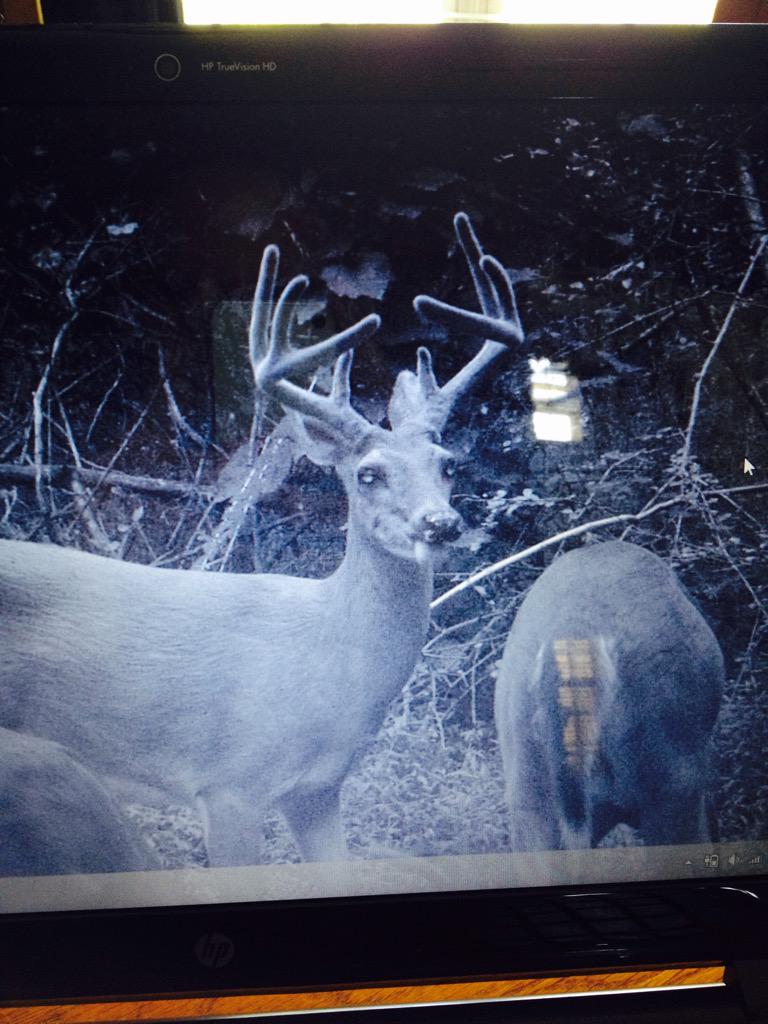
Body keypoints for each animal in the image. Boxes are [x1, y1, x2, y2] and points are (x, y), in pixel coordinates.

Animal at [0, 212, 524, 868]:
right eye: (368, 474)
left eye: (447, 463)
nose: (440, 523)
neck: (325, 655)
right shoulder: (229, 783)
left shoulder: (317, 789)